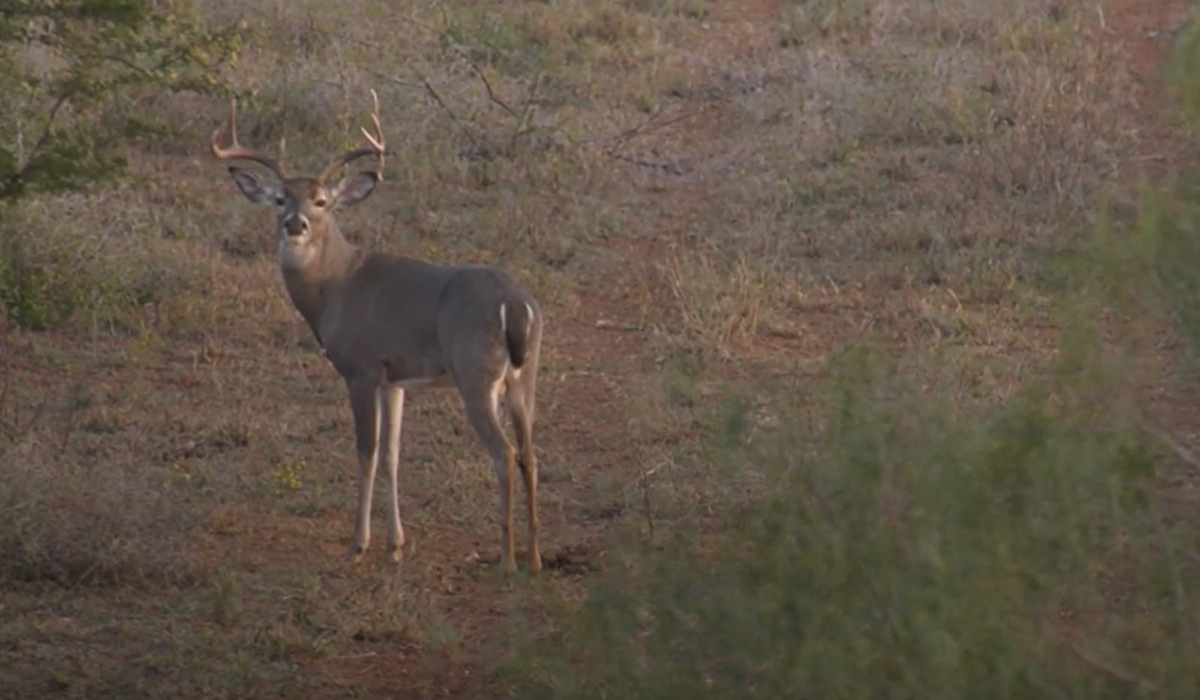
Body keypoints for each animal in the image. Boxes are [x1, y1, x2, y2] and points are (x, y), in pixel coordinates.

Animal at [212, 91, 544, 576]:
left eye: (322, 201)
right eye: (278, 198)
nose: (296, 224)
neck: (337, 286)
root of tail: (517, 305)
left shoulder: (361, 368)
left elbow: (366, 454)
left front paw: (357, 545)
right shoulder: (395, 379)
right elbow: (392, 454)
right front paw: (396, 545)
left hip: (475, 375)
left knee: (505, 455)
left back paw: (507, 560)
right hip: (525, 377)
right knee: (531, 454)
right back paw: (535, 558)